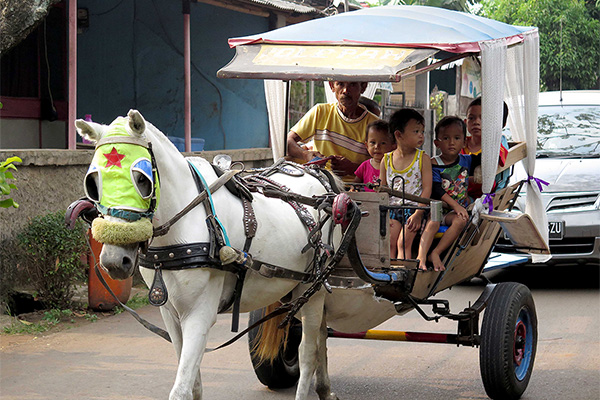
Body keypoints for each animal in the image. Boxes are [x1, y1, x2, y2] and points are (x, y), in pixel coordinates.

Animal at [76, 110, 404, 400]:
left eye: (142, 178)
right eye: (93, 181)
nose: (114, 261)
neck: (188, 222)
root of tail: (320, 175)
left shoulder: (200, 313)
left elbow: (181, 388)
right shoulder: (170, 314)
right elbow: (192, 382)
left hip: (312, 286)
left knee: (308, 349)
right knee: (321, 336)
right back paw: (324, 390)